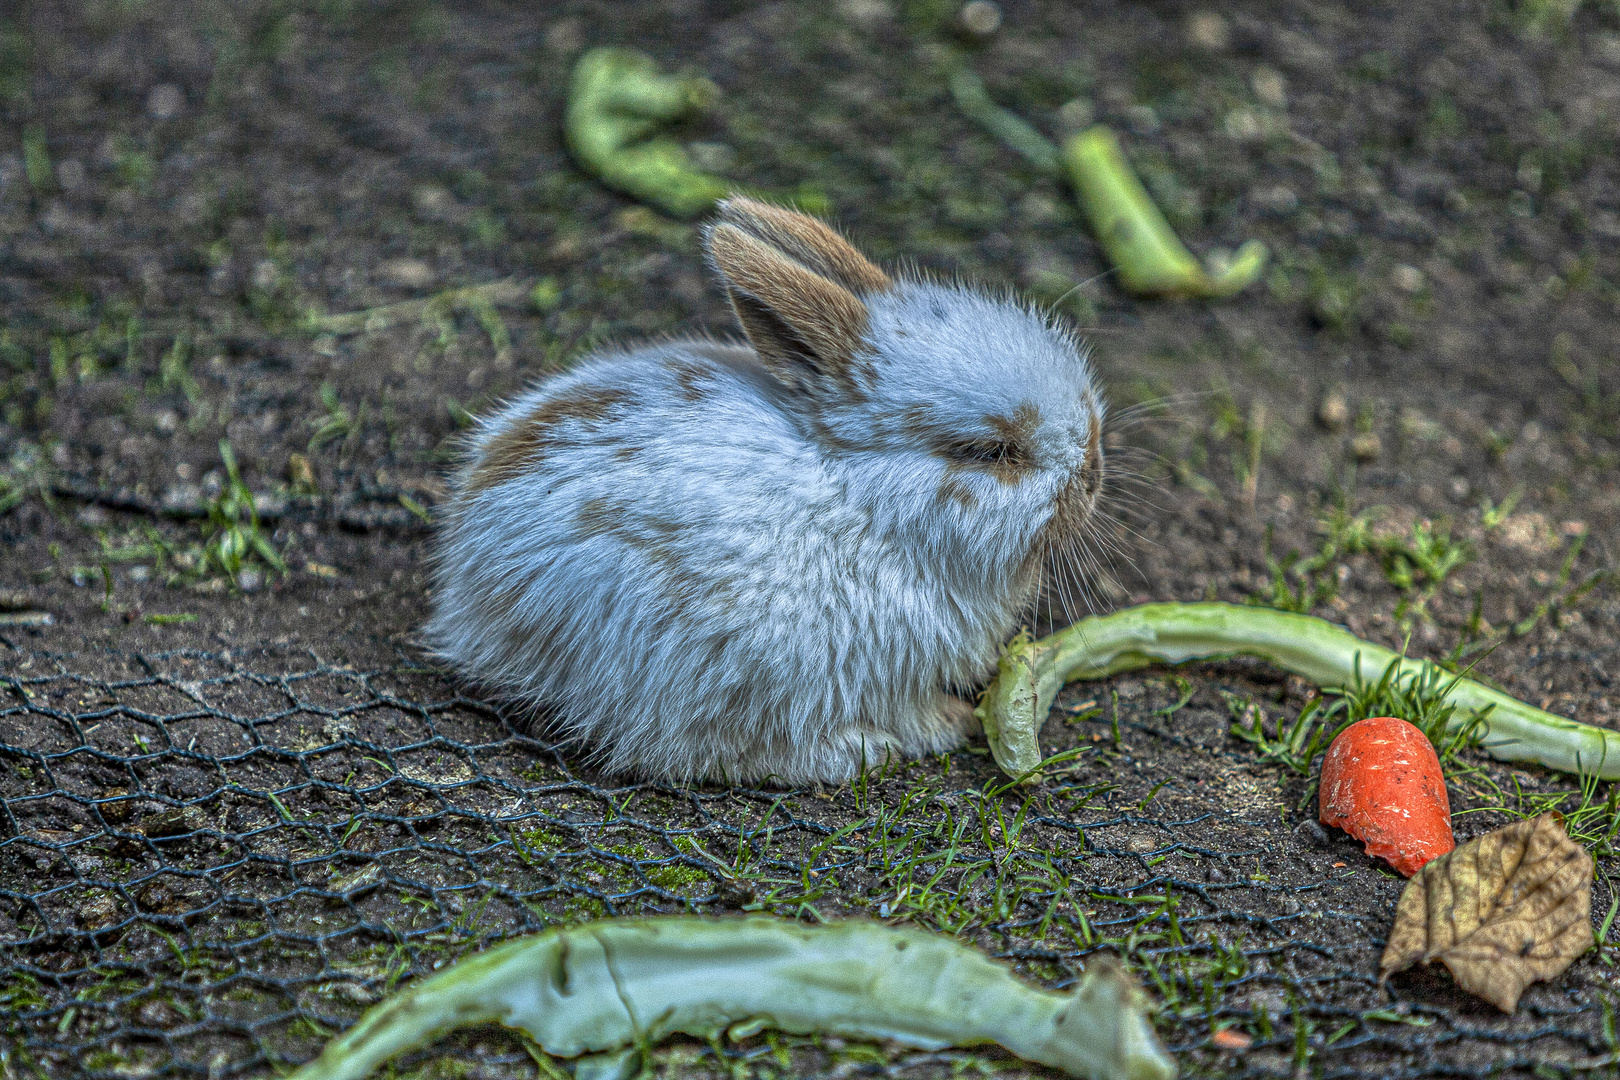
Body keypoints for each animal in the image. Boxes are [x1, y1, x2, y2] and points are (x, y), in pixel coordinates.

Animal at [424, 196, 1108, 786]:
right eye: (990, 452)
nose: (1093, 470)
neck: (865, 503)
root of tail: (470, 593)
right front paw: (953, 723)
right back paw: (864, 749)